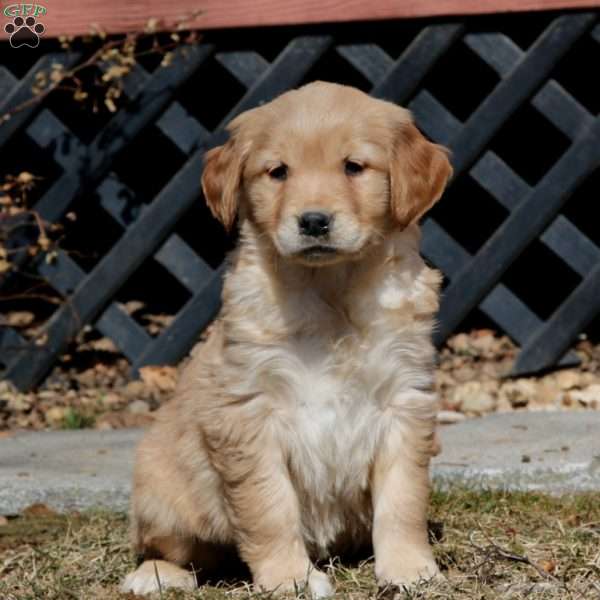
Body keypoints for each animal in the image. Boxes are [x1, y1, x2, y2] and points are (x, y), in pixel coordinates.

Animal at [120, 81, 450, 596]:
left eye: (353, 166)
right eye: (278, 172)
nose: (313, 221)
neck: (330, 291)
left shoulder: (404, 401)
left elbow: (403, 499)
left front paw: (409, 567)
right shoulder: (249, 413)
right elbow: (268, 509)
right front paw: (290, 578)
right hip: (160, 484)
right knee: (182, 550)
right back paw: (155, 574)